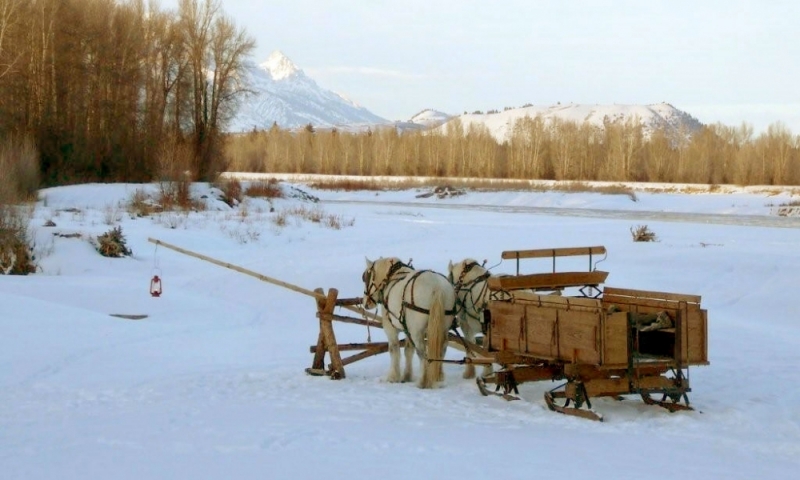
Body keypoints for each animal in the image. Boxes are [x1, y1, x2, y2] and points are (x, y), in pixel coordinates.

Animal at [362, 257, 456, 389]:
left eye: (366, 277)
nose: (365, 302)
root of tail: (437, 286)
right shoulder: (407, 328)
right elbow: (408, 351)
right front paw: (407, 376)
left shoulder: (391, 329)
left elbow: (394, 350)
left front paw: (393, 377)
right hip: (443, 328)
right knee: (442, 349)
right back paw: (438, 377)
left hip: (417, 331)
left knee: (422, 352)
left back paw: (423, 381)